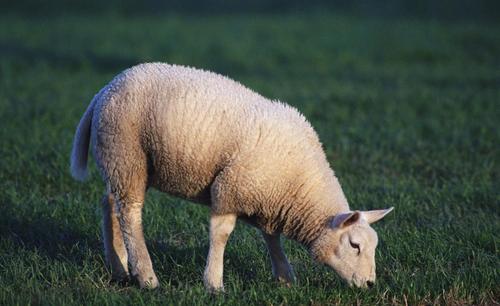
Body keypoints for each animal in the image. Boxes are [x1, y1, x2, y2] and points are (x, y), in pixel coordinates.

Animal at [70, 62, 392, 292]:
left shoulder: (266, 197)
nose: (370, 284)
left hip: (120, 162)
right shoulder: (231, 188)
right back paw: (146, 276)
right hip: (127, 154)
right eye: (354, 245)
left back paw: (119, 267)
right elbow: (221, 234)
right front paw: (214, 283)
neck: (299, 189)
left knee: (110, 205)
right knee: (130, 215)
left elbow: (271, 237)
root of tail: (105, 89)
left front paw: (285, 277)